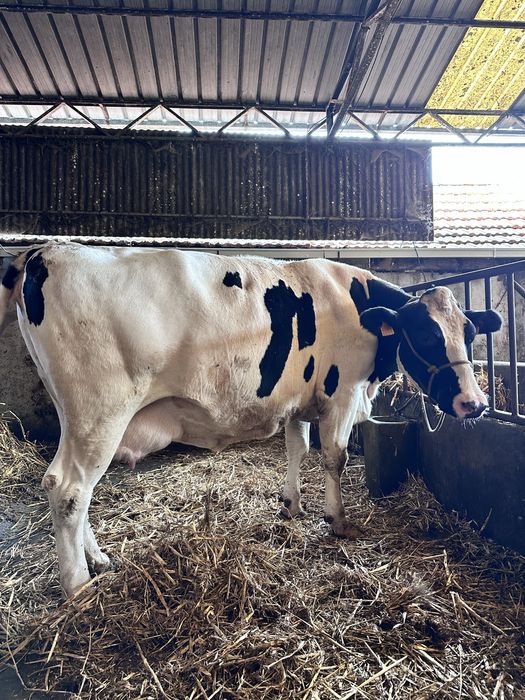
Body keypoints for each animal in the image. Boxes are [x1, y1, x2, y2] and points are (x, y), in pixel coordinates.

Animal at [0, 243, 501, 596]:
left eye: (469, 333)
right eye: (426, 335)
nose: (474, 403)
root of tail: (44, 251)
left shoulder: (301, 398)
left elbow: (298, 447)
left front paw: (291, 505)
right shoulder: (341, 394)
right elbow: (334, 458)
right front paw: (338, 520)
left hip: (78, 416)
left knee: (77, 489)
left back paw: (99, 560)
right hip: (101, 411)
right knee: (68, 489)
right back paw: (78, 587)